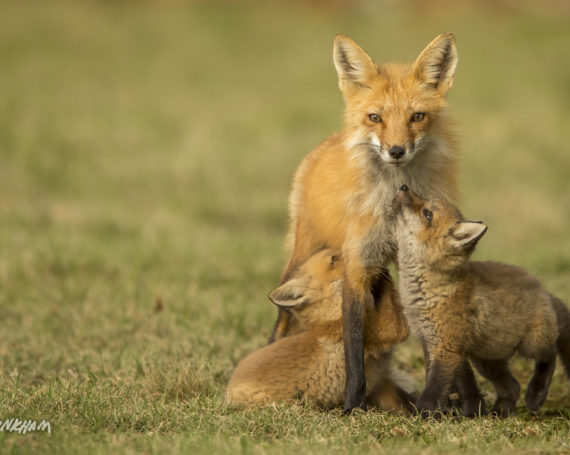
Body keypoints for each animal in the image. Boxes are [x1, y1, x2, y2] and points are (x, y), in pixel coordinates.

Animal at [268, 33, 460, 414]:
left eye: (417, 116)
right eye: (375, 117)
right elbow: (353, 347)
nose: (397, 151)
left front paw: (441, 402)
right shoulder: (356, 264)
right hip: (301, 254)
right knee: (280, 321)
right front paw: (354, 405)